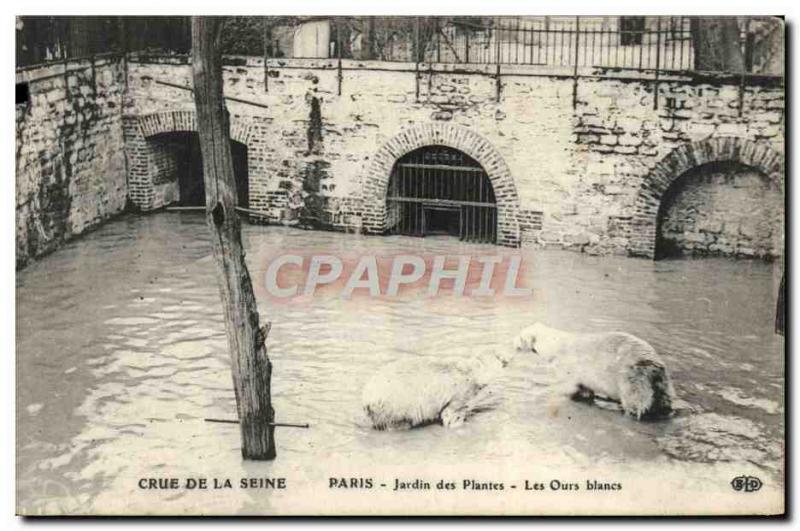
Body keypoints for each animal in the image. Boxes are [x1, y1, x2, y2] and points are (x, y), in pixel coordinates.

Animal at [362, 352, 512, 430]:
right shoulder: (459, 392)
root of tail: (367, 399)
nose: (507, 359)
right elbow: (451, 414)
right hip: (396, 406)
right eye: (499, 358)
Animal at [512, 322, 676, 422]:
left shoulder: (568, 366)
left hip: (632, 379)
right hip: (663, 383)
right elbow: (585, 390)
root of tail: (653, 367)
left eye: (520, 336)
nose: (512, 343)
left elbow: (568, 387)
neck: (557, 346)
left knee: (636, 404)